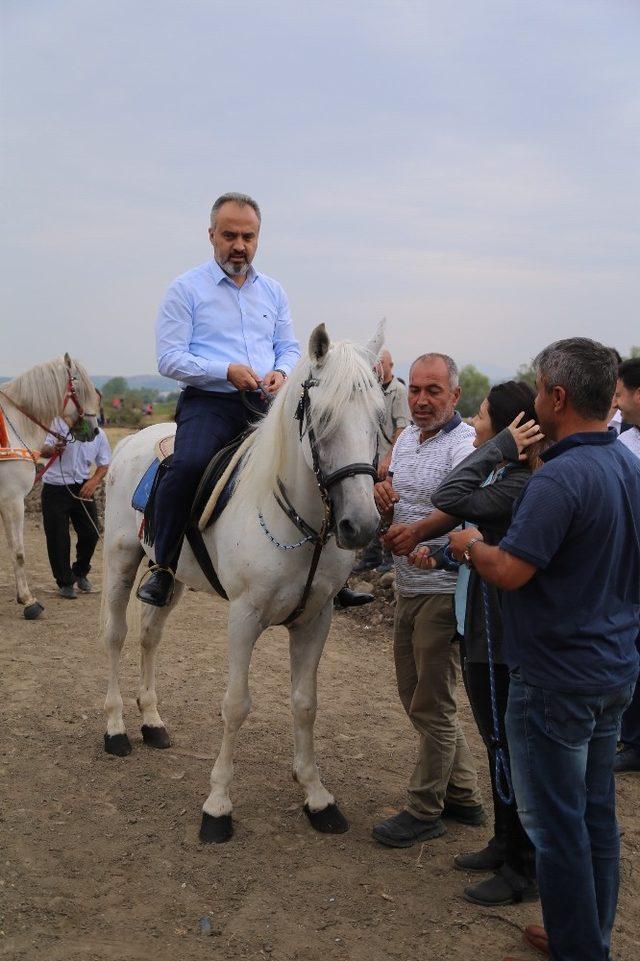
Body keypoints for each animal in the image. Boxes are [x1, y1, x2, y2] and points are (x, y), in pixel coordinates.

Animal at [100, 322, 384, 840]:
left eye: (379, 416)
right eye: (323, 416)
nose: (361, 525)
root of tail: (133, 441)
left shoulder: (316, 620)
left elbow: (305, 703)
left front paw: (317, 797)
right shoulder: (244, 618)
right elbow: (235, 705)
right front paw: (217, 807)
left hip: (170, 577)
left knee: (150, 635)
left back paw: (152, 722)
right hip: (120, 560)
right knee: (117, 635)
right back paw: (116, 730)